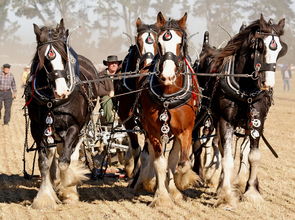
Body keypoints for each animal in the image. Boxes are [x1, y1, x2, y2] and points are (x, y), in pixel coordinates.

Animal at [25, 18, 99, 208]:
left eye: (65, 57)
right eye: (44, 60)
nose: (62, 92)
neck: (54, 101)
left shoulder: (74, 126)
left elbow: (65, 161)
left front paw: (68, 188)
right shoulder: (38, 128)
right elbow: (44, 161)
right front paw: (44, 197)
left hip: (82, 128)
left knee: (71, 153)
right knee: (55, 152)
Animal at [136, 12, 201, 205]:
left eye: (181, 43)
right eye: (159, 43)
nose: (167, 76)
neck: (168, 94)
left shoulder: (186, 130)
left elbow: (181, 162)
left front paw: (182, 181)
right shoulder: (153, 130)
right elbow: (160, 163)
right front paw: (161, 196)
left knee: (174, 157)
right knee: (153, 155)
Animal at [198, 15, 288, 208]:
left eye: (279, 49)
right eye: (259, 47)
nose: (268, 84)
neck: (245, 87)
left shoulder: (257, 120)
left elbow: (253, 156)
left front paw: (251, 191)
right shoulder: (225, 120)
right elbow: (227, 158)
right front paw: (226, 195)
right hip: (210, 117)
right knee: (215, 145)